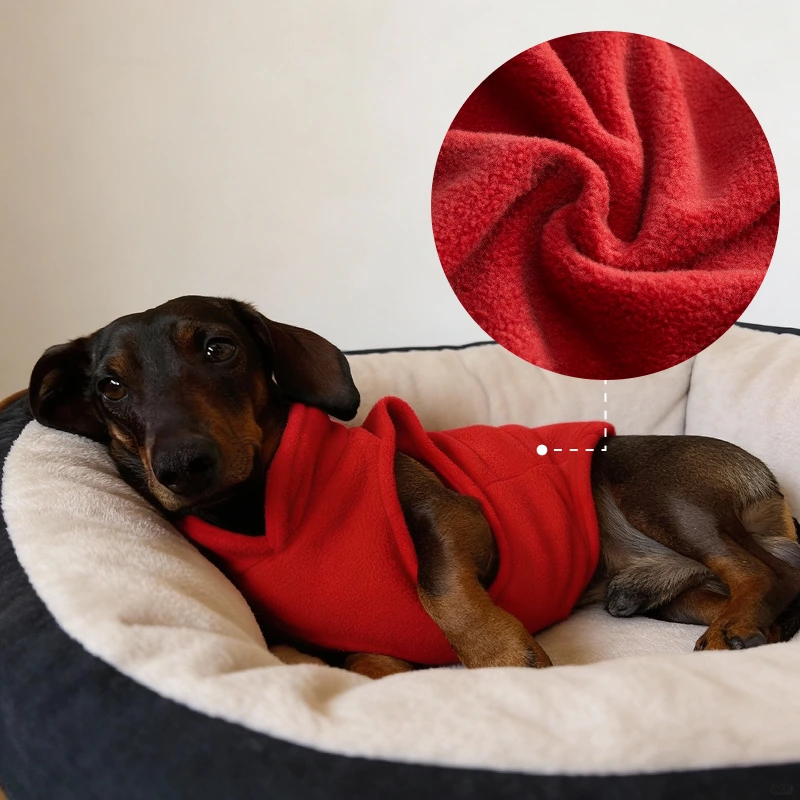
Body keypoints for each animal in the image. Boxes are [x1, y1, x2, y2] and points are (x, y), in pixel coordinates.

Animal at [12, 295, 800, 679]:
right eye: (110, 386)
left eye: (219, 348)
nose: (181, 466)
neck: (264, 516)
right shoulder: (320, 639)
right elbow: (367, 664)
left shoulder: (450, 517)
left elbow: (441, 588)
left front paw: (498, 659)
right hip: (667, 591)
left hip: (659, 492)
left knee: (760, 569)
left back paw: (739, 626)